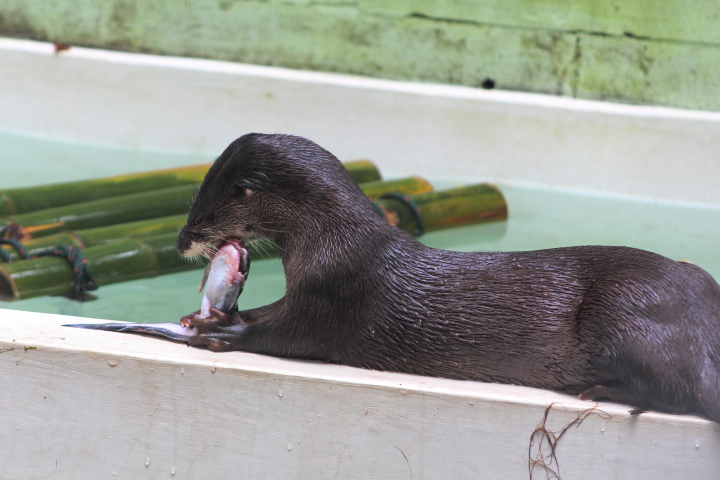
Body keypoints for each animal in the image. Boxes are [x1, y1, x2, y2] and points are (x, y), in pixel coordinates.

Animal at [76, 133, 720, 422]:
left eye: (202, 214)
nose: (181, 242)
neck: (332, 242)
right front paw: (202, 315)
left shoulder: (333, 292)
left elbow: (283, 331)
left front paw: (220, 331)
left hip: (629, 314)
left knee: (678, 391)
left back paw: (604, 391)